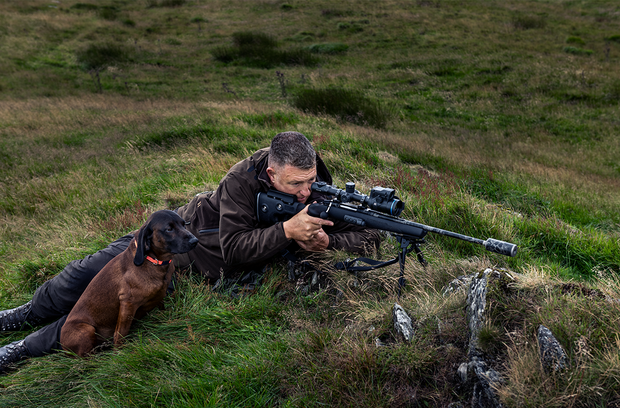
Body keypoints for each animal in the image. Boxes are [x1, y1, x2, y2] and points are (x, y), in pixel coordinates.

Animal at [59, 210, 197, 356]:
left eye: (184, 224)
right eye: (169, 229)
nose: (195, 241)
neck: (153, 261)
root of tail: (62, 345)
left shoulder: (160, 294)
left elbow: (161, 305)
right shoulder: (127, 304)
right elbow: (120, 334)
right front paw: (120, 353)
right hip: (86, 329)